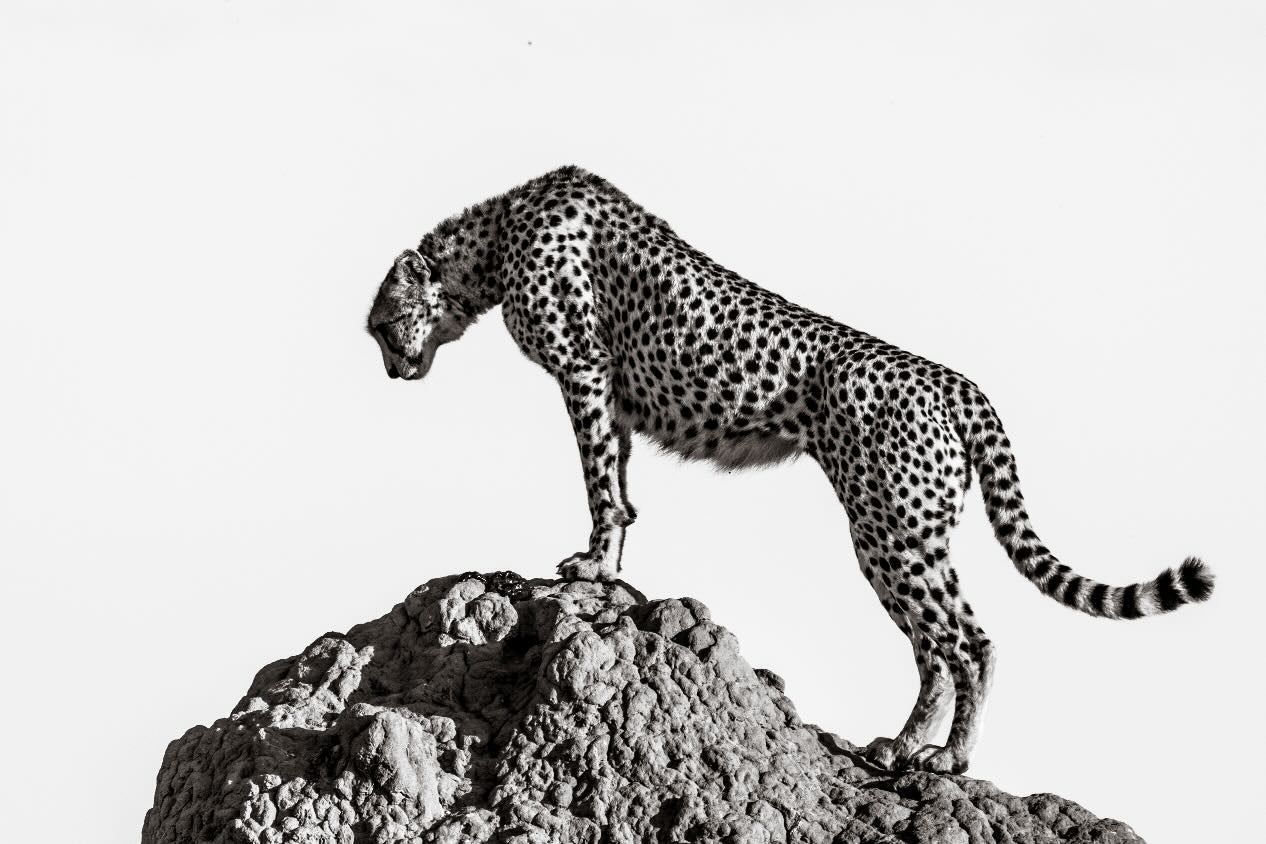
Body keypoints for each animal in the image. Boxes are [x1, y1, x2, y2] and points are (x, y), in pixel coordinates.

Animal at [366, 166, 1214, 774]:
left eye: (379, 324)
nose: (391, 371)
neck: (496, 233)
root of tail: (955, 382)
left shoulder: (585, 373)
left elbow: (600, 484)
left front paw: (591, 567)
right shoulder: (614, 399)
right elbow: (622, 491)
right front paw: (610, 565)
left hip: (889, 531)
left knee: (967, 640)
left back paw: (950, 757)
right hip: (909, 535)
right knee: (936, 647)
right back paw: (903, 745)